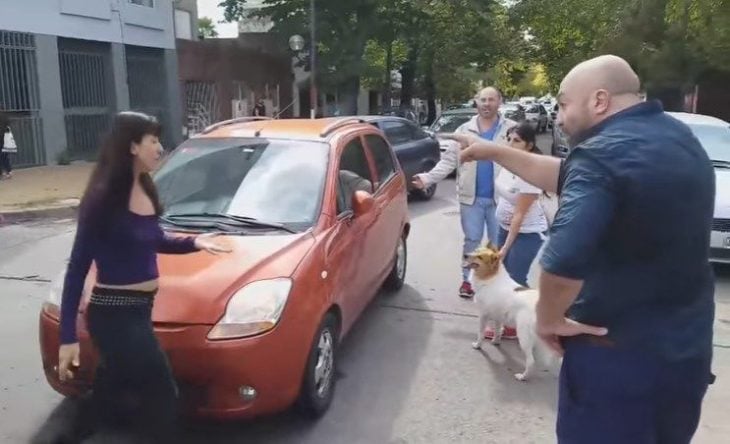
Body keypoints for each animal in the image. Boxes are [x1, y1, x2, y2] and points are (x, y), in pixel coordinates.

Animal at [464, 243, 556, 382]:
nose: (464, 255)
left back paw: (523, 376)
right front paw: (496, 341)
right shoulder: (498, 316)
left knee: (531, 361)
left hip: (524, 335)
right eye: (475, 250)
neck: (491, 277)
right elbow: (497, 331)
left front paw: (478, 345)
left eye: (480, 257)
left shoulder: (483, 315)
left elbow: (480, 333)